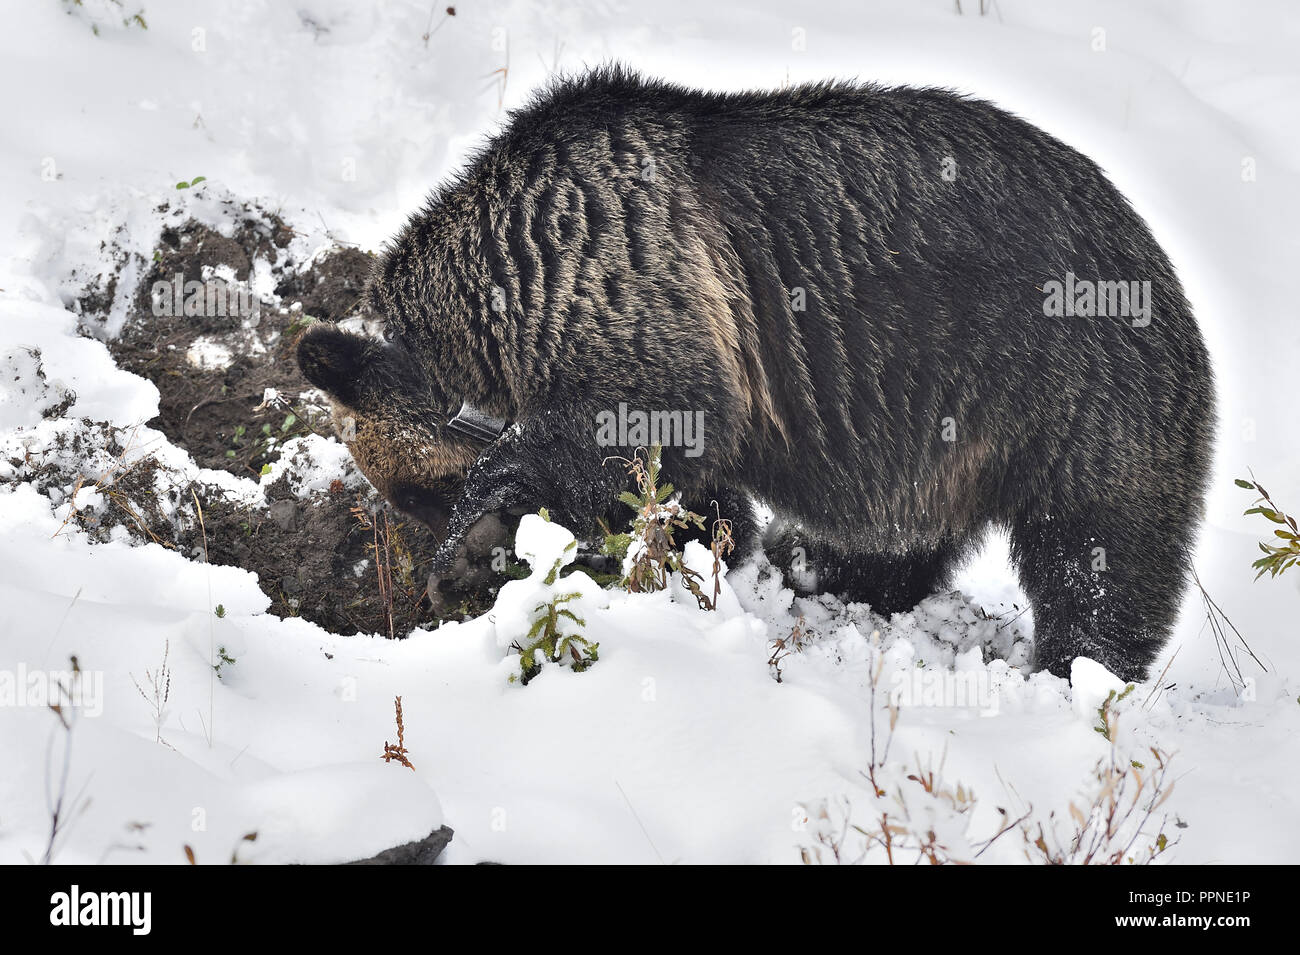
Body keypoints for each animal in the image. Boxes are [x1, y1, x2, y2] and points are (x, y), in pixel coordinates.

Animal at [297, 67, 1216, 680]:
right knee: (901, 534)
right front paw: (713, 547)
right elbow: (685, 490)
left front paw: (487, 532)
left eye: (420, 492)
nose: (435, 575)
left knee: (1096, 553)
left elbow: (624, 437)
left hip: (1066, 387)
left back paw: (1078, 666)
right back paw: (818, 563)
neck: (508, 302)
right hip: (950, 428)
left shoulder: (636, 294)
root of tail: (1162, 266)